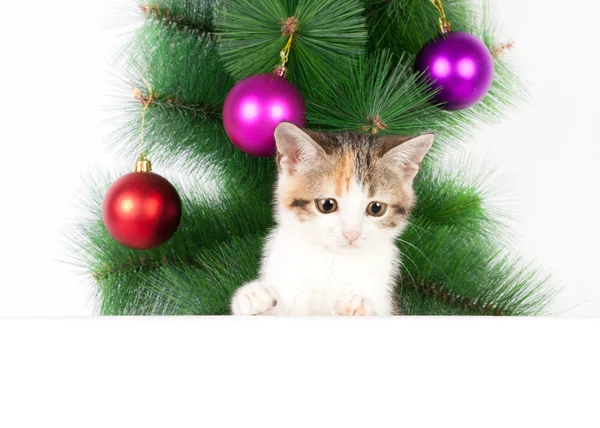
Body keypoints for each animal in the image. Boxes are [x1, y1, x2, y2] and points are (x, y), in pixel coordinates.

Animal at [232, 122, 434, 316]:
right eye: (327, 205)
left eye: (376, 208)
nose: (351, 234)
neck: (333, 259)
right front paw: (253, 299)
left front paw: (357, 308)